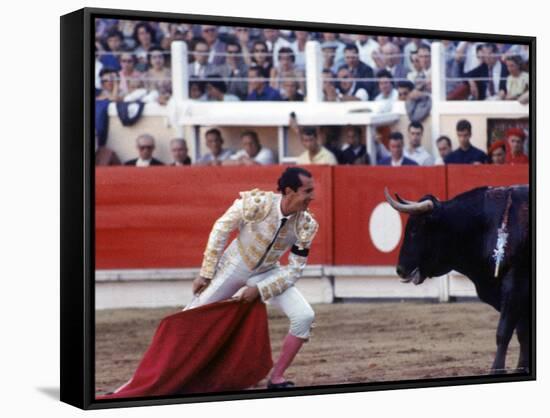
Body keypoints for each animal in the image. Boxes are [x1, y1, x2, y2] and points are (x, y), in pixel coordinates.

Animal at [386, 185, 532, 374]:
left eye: (414, 231)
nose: (400, 270)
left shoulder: (515, 286)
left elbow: (504, 331)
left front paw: (496, 369)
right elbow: (522, 333)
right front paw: (522, 367)